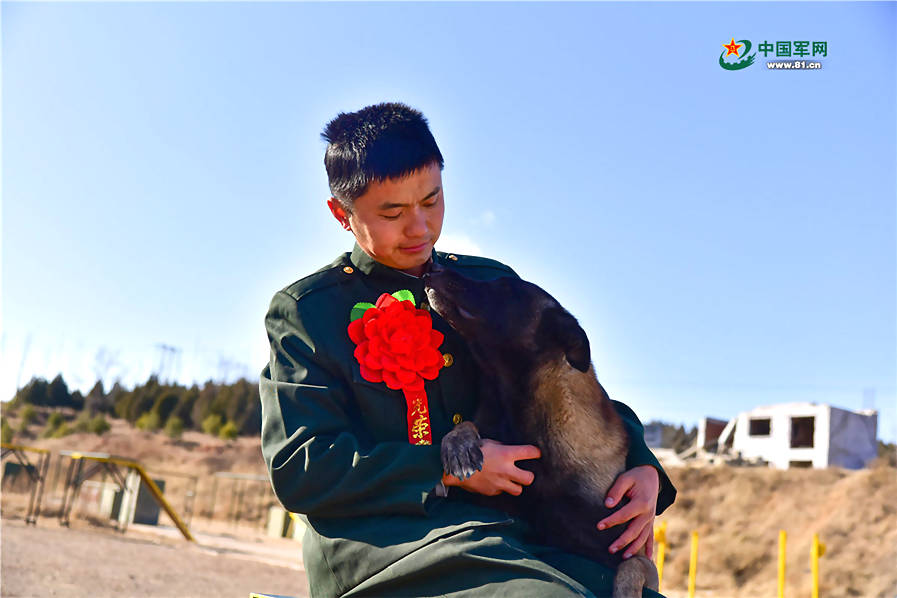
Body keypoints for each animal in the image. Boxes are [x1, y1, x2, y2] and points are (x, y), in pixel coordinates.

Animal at [420, 264, 656, 598]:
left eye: (506, 287)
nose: (433, 267)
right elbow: (466, 425)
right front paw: (459, 446)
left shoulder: (639, 557)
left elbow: (630, 569)